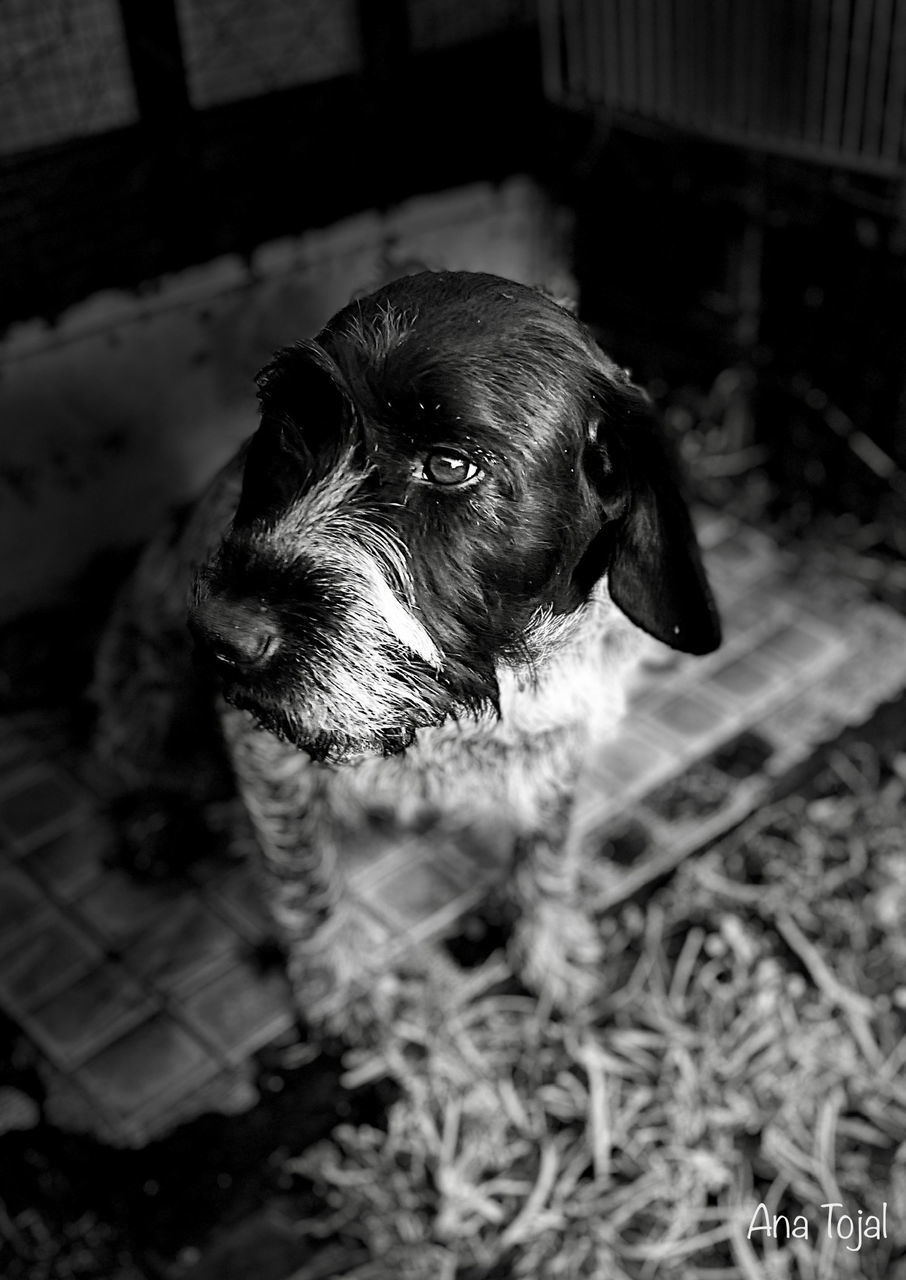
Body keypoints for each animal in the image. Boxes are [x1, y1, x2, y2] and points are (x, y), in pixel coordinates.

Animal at [94, 270, 721, 1029]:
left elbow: (549, 842)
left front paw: (548, 937)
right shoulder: (265, 754)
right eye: (291, 432)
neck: (478, 691)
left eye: (449, 465)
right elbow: (302, 871)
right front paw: (337, 978)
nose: (220, 637)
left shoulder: (562, 736)